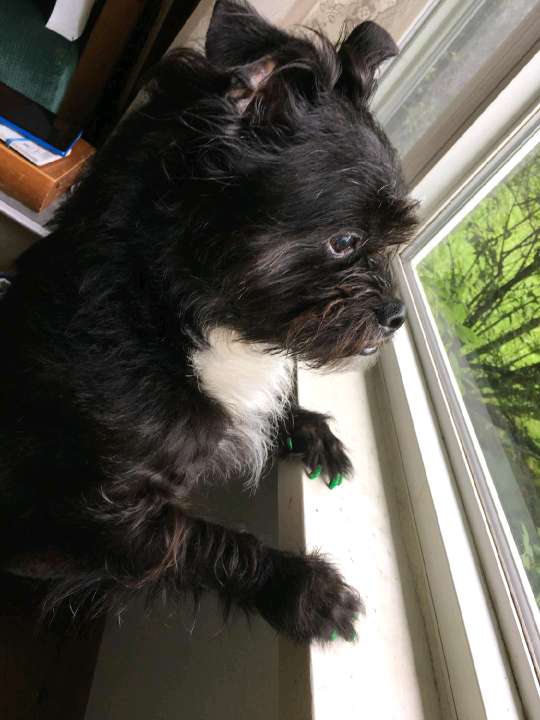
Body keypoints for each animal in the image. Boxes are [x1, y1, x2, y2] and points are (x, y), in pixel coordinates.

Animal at [0, 0, 418, 640]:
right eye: (346, 241)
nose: (396, 317)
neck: (179, 317)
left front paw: (305, 428)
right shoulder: (87, 521)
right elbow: (200, 542)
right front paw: (302, 587)